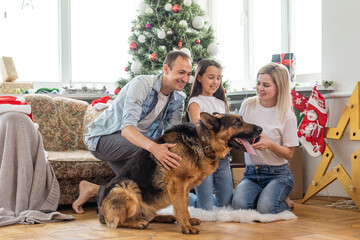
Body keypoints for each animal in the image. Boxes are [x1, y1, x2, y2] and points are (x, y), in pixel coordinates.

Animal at [97, 112, 262, 234]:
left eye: (242, 120)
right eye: (237, 123)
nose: (260, 129)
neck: (202, 142)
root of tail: (100, 212)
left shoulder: (185, 187)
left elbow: (185, 205)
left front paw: (188, 221)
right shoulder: (177, 184)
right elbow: (181, 207)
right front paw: (186, 227)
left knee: (149, 216)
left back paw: (164, 217)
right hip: (127, 188)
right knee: (118, 222)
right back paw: (138, 224)